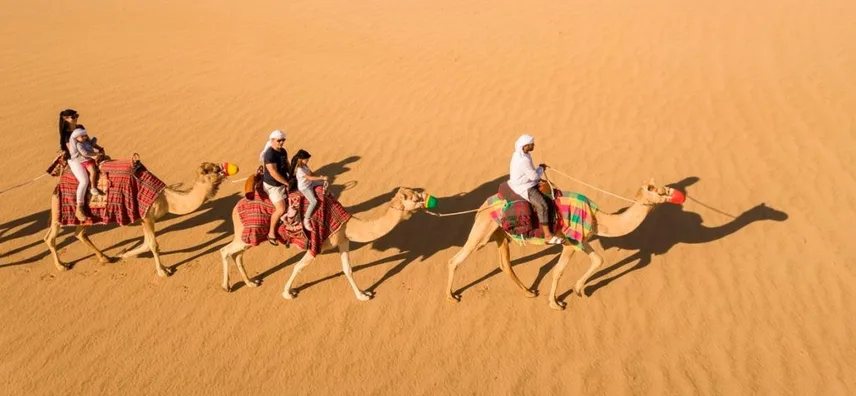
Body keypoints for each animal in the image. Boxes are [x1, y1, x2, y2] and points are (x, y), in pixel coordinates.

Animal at [217, 187, 424, 302]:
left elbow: (348, 269)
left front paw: (362, 295)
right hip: (246, 233)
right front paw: (287, 293)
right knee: (225, 250)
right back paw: (226, 286)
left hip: (249, 236)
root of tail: (235, 207)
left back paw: (250, 282)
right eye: (415, 199)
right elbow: (298, 267)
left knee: (238, 254)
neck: (347, 223)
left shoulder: (343, 240)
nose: (426, 199)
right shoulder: (316, 244)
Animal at [448, 178, 684, 310]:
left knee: (505, 263)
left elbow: (598, 260)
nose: (674, 194)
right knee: (456, 259)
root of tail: (482, 206)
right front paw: (556, 303)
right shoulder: (569, 244)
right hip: (482, 230)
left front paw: (579, 290)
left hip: (499, 234)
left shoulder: (581, 239)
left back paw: (529, 292)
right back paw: (451, 296)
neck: (597, 217)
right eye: (656, 189)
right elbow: (558, 271)